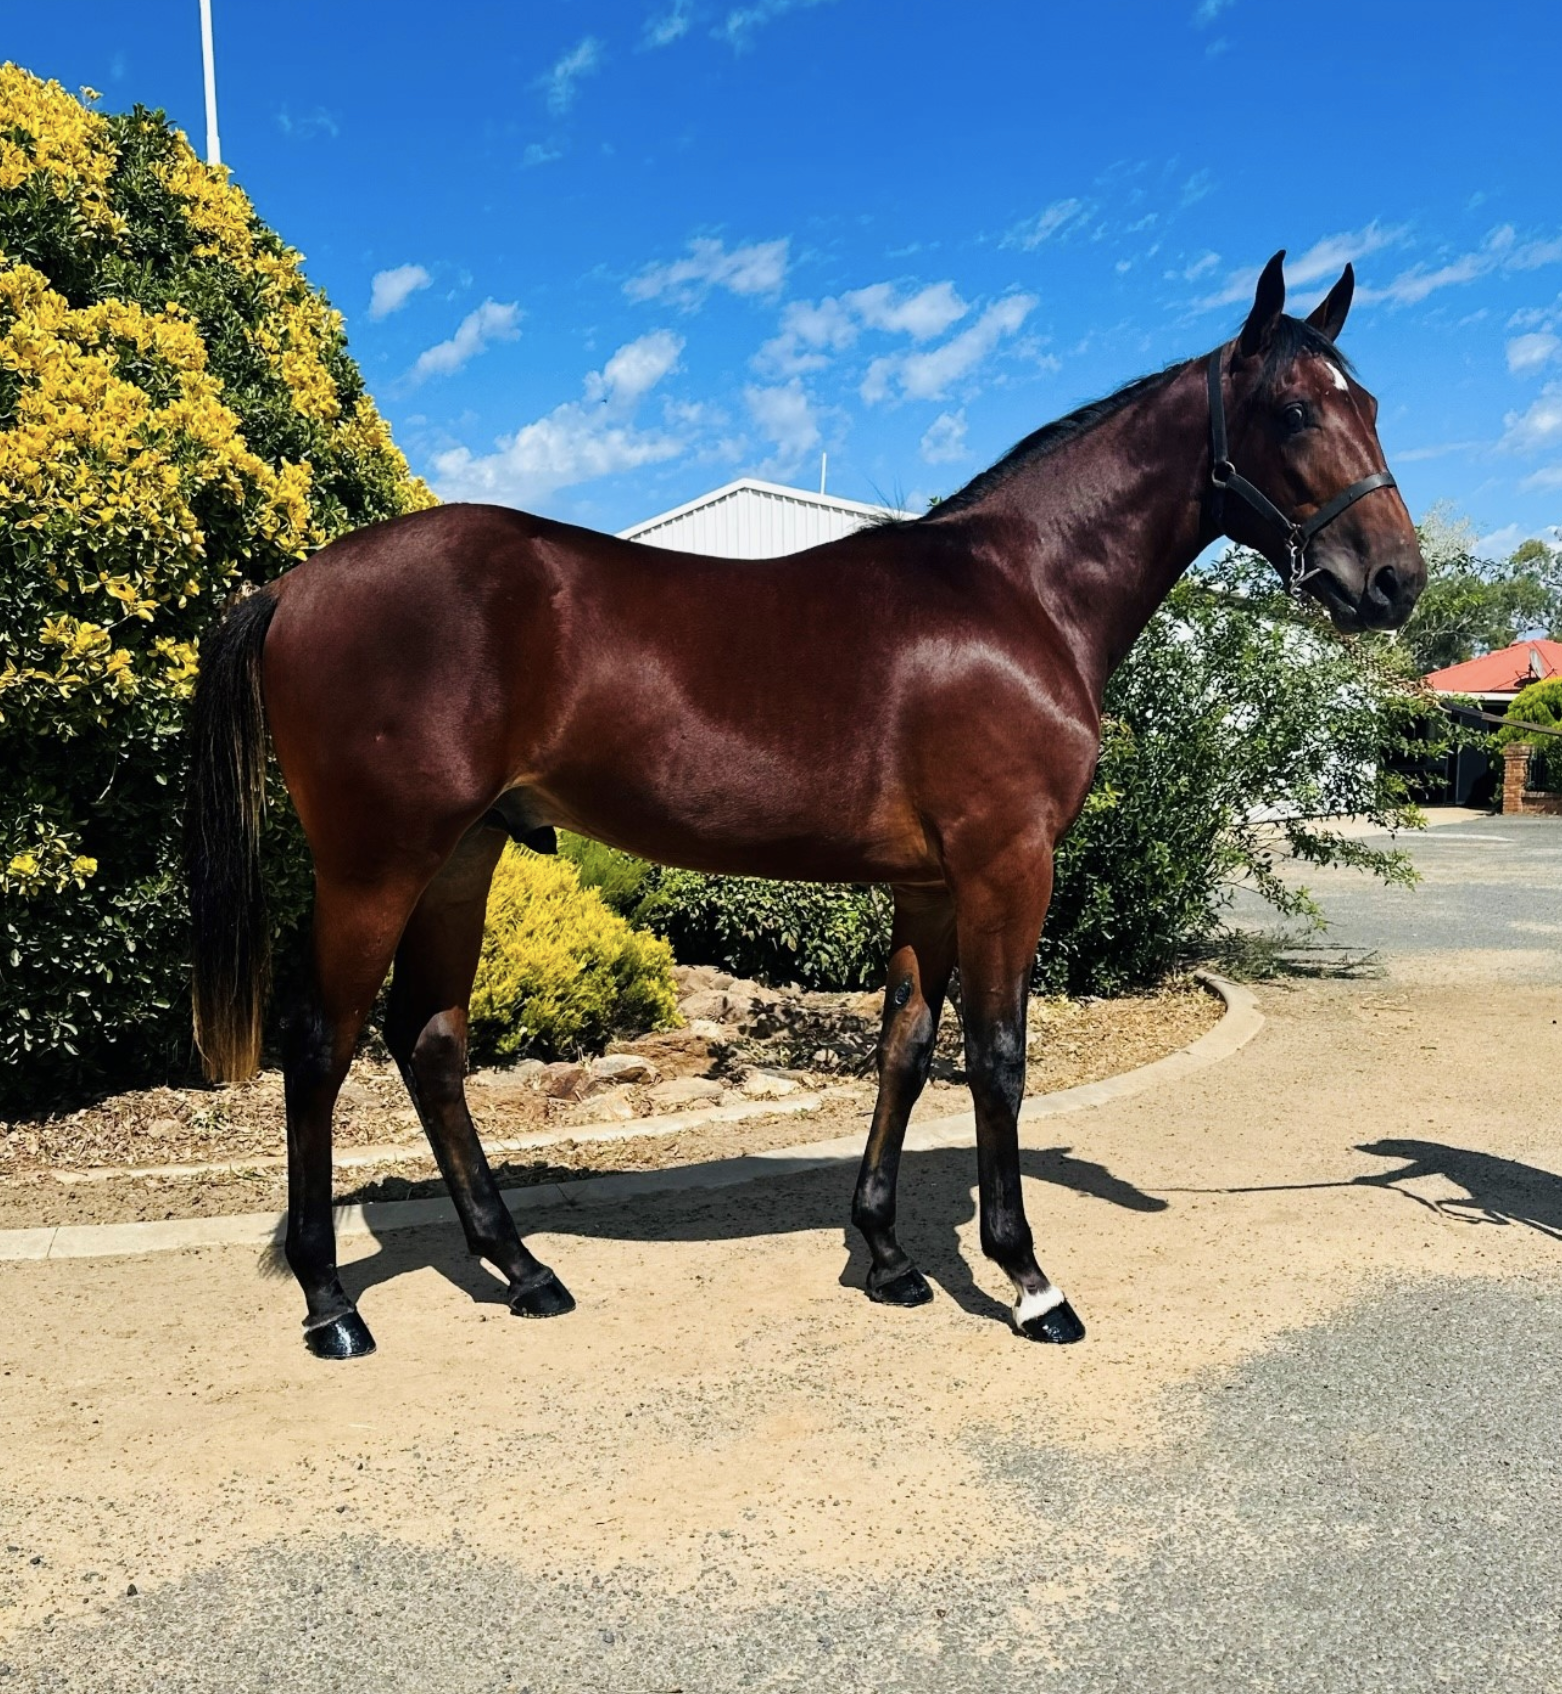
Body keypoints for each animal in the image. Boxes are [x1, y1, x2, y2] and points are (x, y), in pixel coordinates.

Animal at [186, 251, 1425, 1360]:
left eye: (1366, 401)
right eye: (1290, 409)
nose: (1393, 581)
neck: (1018, 589)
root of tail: (294, 582)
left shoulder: (931, 883)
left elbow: (905, 1048)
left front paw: (884, 1254)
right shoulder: (1005, 865)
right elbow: (998, 1055)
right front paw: (1028, 1279)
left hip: (462, 855)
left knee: (428, 1039)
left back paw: (524, 1269)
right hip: (376, 861)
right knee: (319, 1043)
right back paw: (332, 1303)